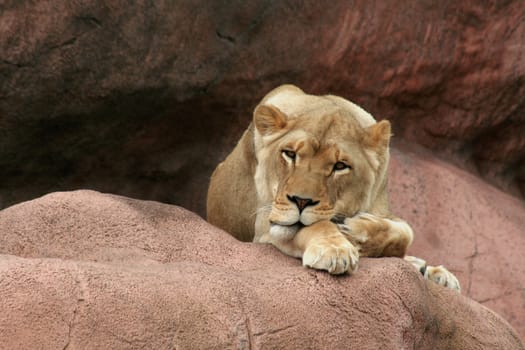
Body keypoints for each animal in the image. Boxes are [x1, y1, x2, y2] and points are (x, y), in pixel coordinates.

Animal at [207, 84, 456, 290]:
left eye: (340, 166)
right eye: (290, 154)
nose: (301, 201)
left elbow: (405, 231)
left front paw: (356, 231)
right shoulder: (264, 223)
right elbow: (316, 226)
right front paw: (336, 250)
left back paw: (436, 273)